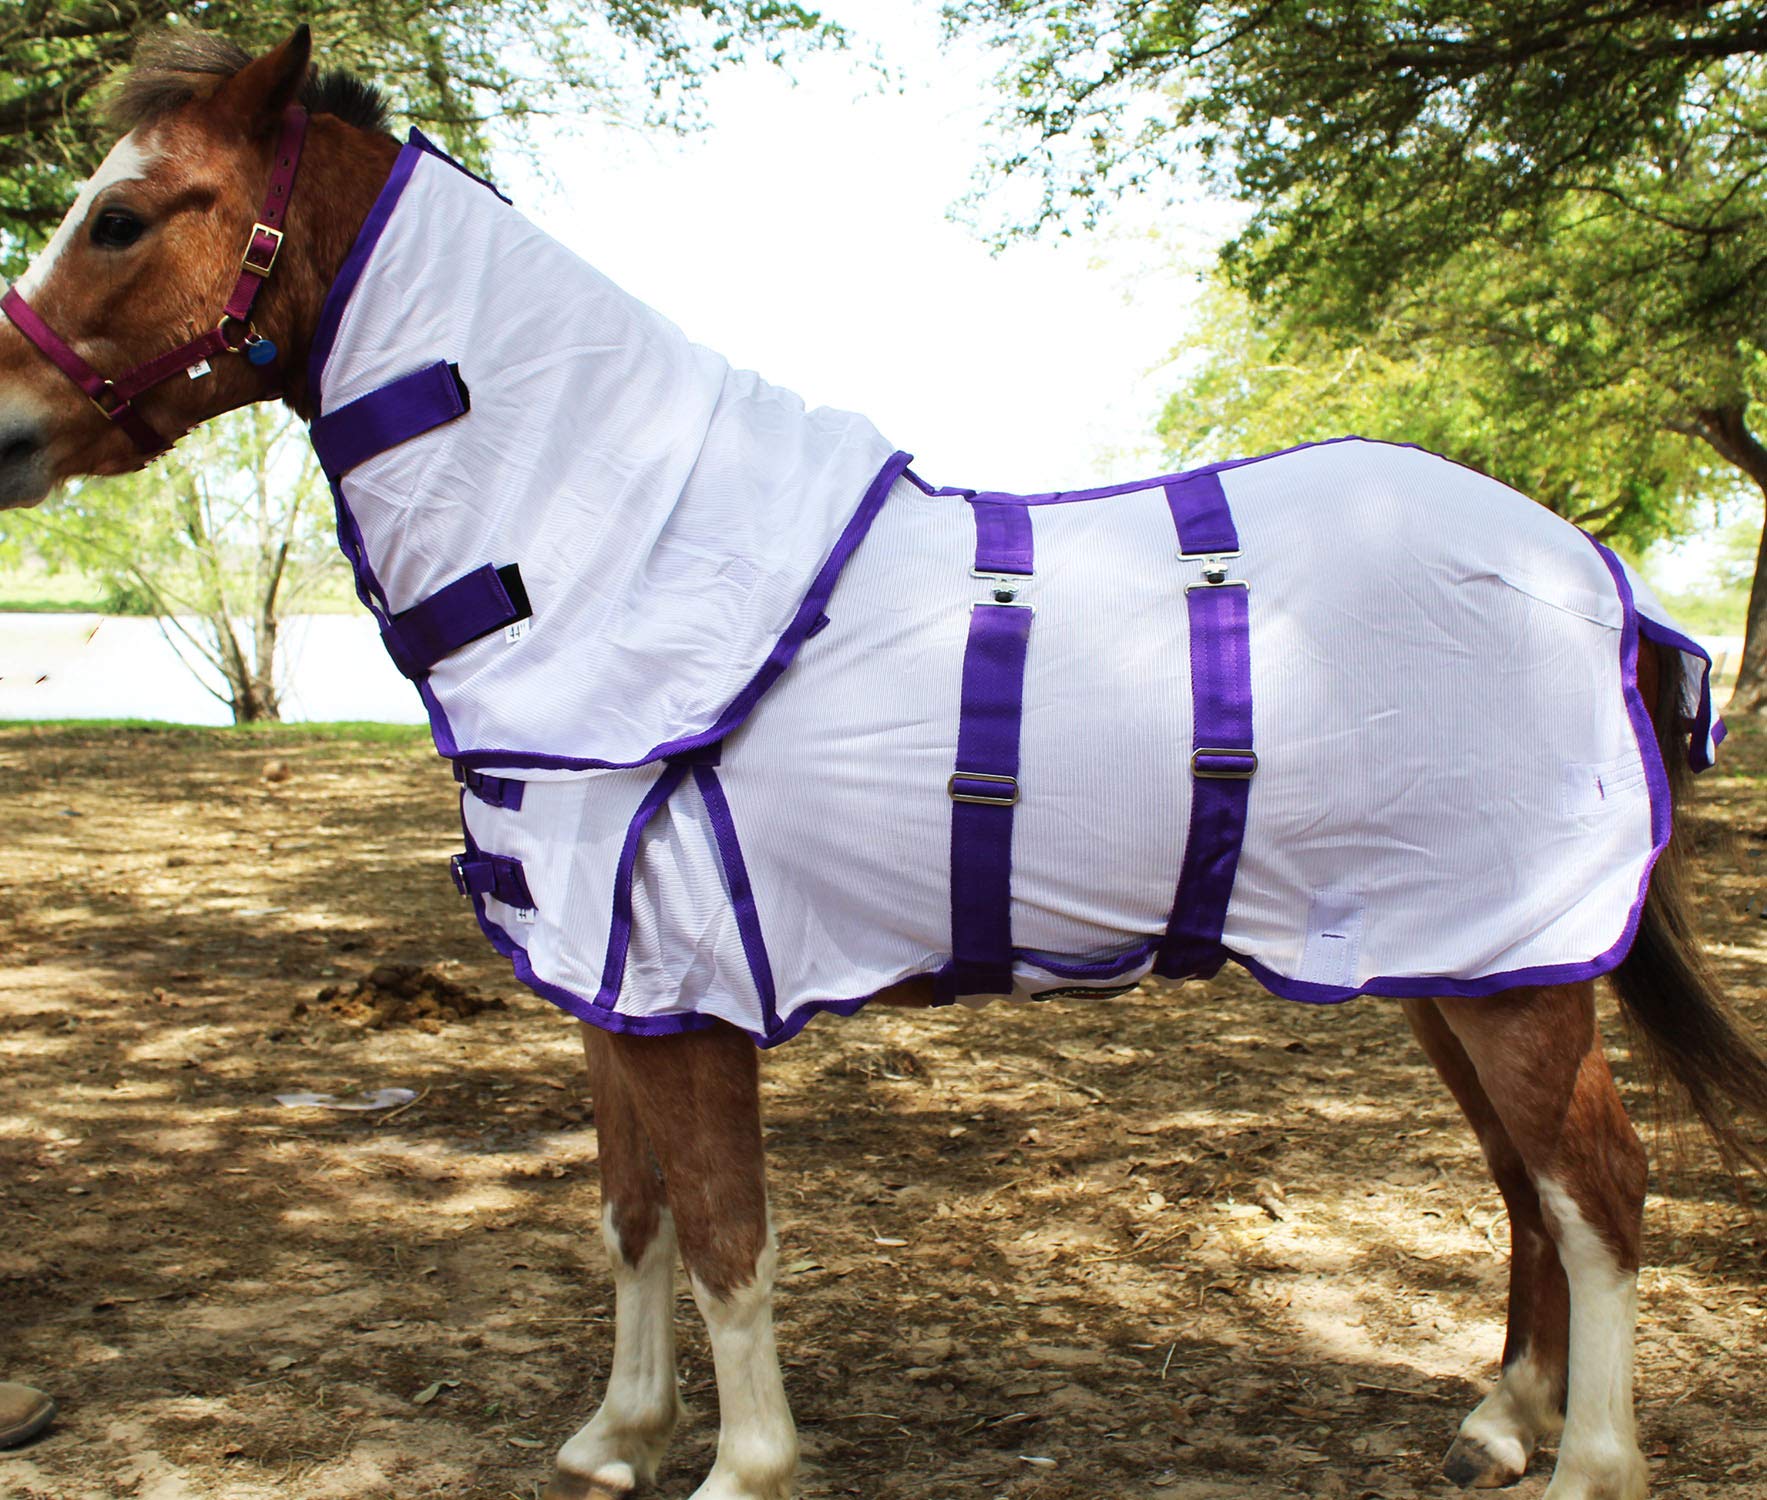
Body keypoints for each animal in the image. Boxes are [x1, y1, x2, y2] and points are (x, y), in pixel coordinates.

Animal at [2, 28, 1765, 1500]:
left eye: (123, 218)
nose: (5, 427)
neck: (614, 539)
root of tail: (1588, 573)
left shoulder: (690, 990)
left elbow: (727, 1233)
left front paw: (741, 1466)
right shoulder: (609, 982)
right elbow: (631, 1214)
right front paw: (616, 1435)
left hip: (1511, 974)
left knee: (1597, 1191)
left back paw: (1588, 1466)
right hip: (1451, 966)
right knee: (1526, 1189)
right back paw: (1498, 1422)